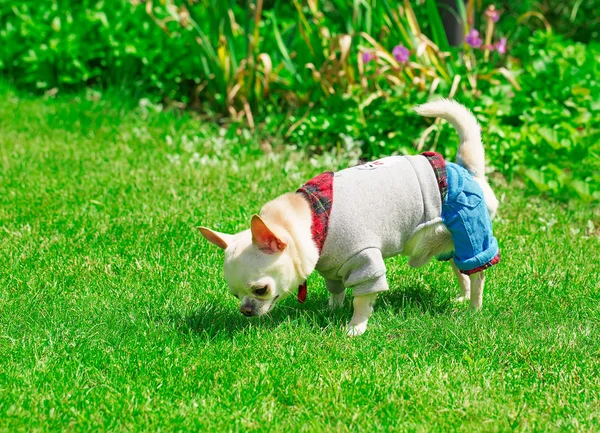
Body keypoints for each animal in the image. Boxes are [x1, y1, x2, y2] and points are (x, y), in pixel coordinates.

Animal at [199, 99, 500, 336]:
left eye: (260, 289)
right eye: (234, 294)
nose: (246, 310)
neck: (311, 217)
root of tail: (465, 169)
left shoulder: (365, 261)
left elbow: (362, 299)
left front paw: (355, 328)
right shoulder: (331, 266)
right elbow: (336, 289)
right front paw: (332, 309)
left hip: (470, 231)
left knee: (477, 275)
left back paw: (473, 308)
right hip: (451, 241)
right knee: (460, 269)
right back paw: (461, 297)